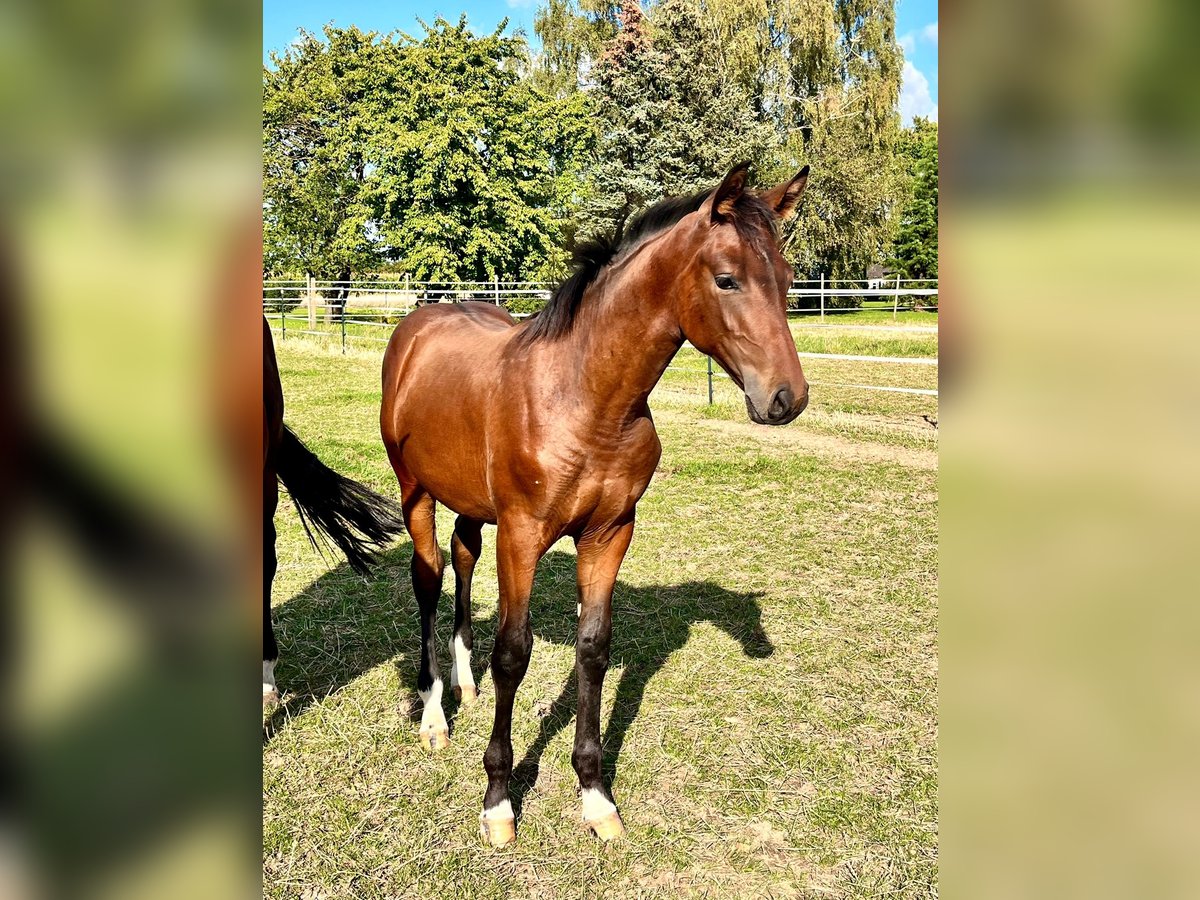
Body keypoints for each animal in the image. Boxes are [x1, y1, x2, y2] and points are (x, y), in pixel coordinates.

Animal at [381, 164, 816, 844]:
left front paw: (594, 794)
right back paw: (433, 716)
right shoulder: (522, 535)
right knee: (428, 576)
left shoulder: (610, 533)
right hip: (415, 491)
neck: (587, 398)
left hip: (470, 500)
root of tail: (419, 324)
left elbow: (594, 648)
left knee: (462, 555)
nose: (785, 398)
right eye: (727, 278)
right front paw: (499, 800)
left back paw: (464, 683)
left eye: (791, 279)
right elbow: (514, 653)